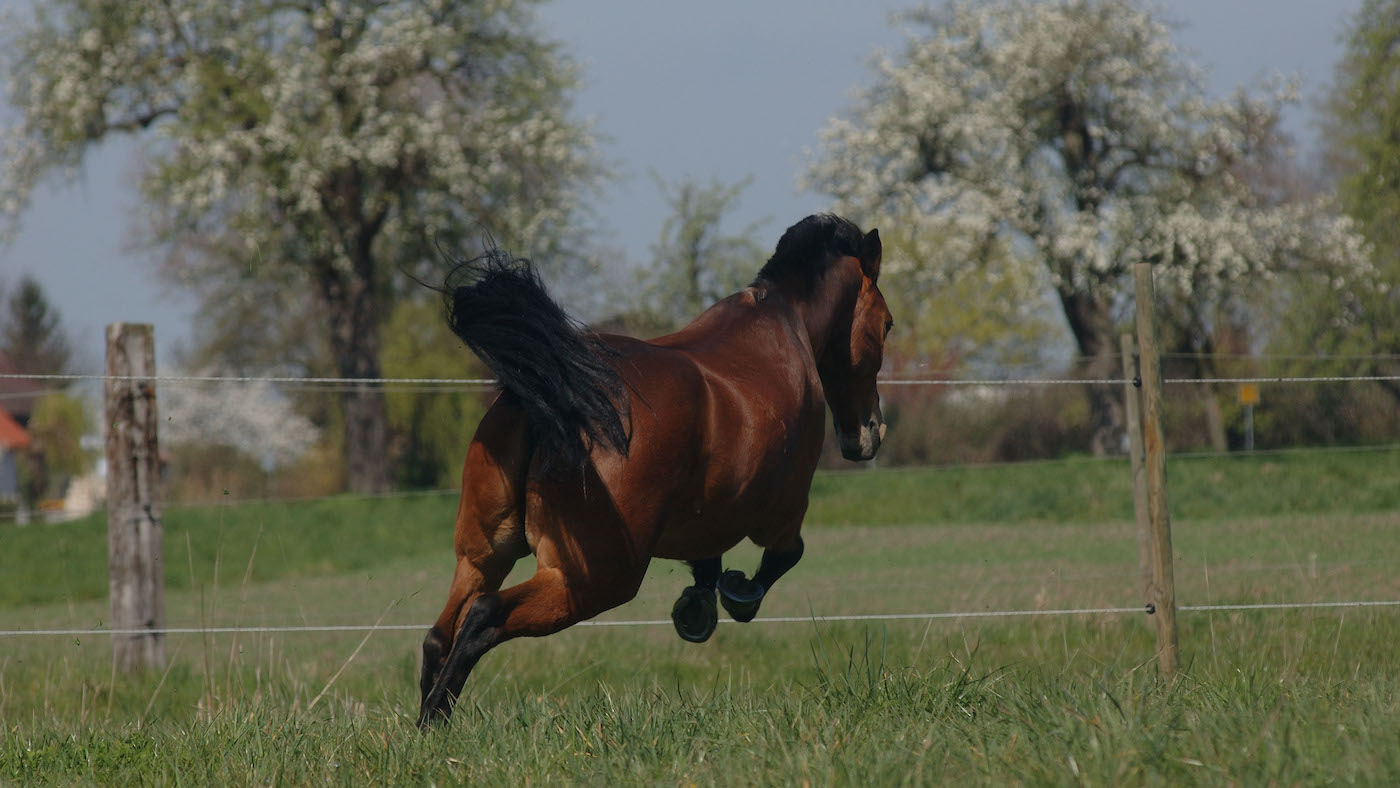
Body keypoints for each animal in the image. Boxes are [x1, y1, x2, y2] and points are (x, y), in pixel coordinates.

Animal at [417, 213, 893, 727]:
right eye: (887, 324)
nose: (869, 433)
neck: (785, 327)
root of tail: (548, 397)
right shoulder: (782, 513)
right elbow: (785, 557)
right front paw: (737, 595)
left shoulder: (706, 520)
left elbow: (707, 563)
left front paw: (699, 606)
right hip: (595, 580)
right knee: (483, 617)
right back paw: (434, 720)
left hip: (484, 554)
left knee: (441, 633)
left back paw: (426, 722)